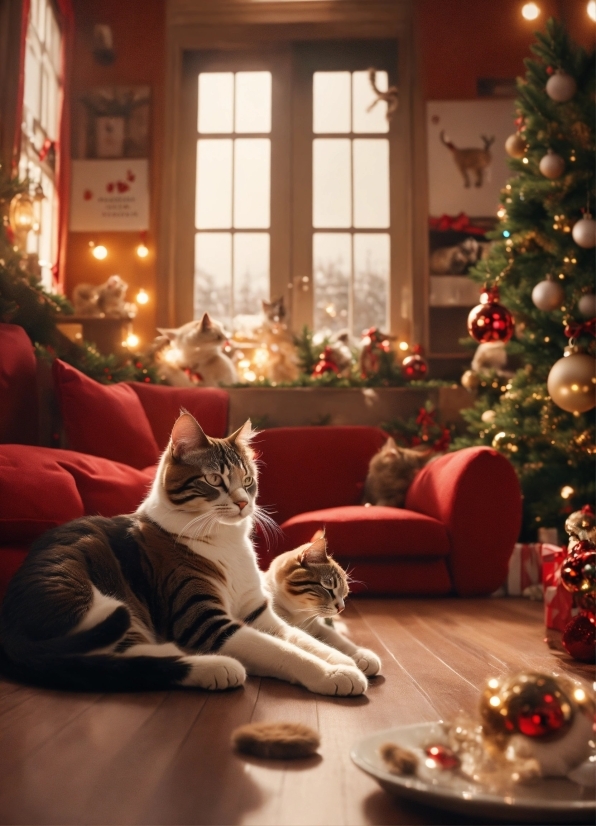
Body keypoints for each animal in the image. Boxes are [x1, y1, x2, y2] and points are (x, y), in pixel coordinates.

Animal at [0, 416, 368, 692]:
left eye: (248, 480)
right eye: (214, 479)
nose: (243, 502)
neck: (226, 540)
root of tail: (8, 631)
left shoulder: (259, 614)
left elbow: (300, 638)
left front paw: (342, 657)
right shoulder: (201, 617)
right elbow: (282, 650)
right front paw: (333, 673)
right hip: (90, 596)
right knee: (117, 662)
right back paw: (213, 665)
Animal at [264, 536, 382, 676]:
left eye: (344, 593)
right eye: (328, 589)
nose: (341, 608)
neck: (298, 616)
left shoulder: (317, 626)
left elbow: (338, 639)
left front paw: (362, 655)